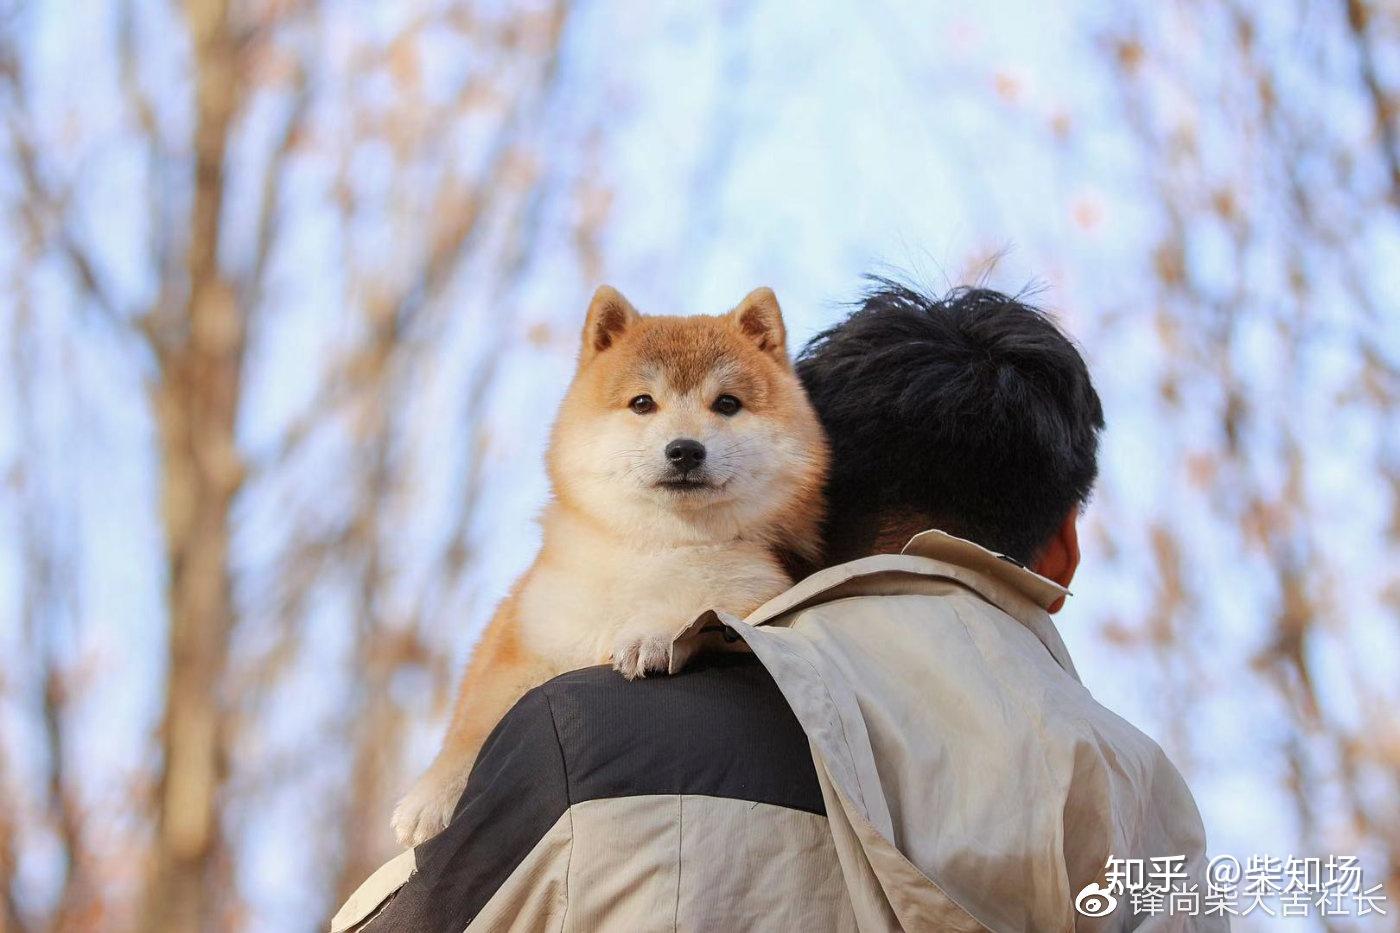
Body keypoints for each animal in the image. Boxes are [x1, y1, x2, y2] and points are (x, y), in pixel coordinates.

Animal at [392, 282, 828, 840]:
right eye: (642, 402)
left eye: (727, 404)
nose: (685, 450)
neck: (653, 549)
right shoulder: (522, 648)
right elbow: (473, 730)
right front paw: (430, 798)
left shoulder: (757, 592)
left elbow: (701, 609)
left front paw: (652, 634)